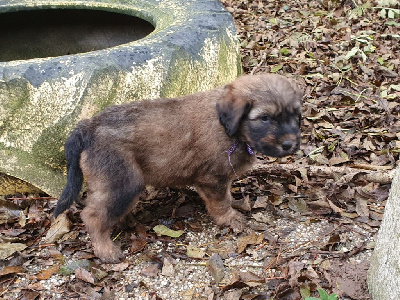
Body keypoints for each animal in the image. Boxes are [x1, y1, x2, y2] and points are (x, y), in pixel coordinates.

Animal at [54, 74, 304, 264]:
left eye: (296, 116)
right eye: (265, 118)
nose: (290, 144)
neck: (229, 129)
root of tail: (88, 126)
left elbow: (226, 194)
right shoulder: (212, 179)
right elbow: (220, 202)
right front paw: (230, 218)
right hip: (123, 183)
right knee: (93, 215)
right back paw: (106, 250)